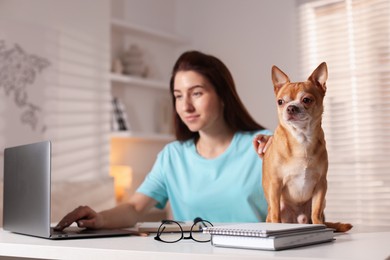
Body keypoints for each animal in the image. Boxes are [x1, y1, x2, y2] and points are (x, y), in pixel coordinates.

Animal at [262, 62, 354, 232]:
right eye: (280, 102)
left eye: (306, 100)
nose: (291, 107)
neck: (302, 139)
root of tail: (295, 221)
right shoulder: (275, 184)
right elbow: (276, 211)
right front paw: (276, 226)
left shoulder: (321, 184)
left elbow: (316, 210)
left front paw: (320, 226)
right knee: (274, 212)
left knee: (315, 214)